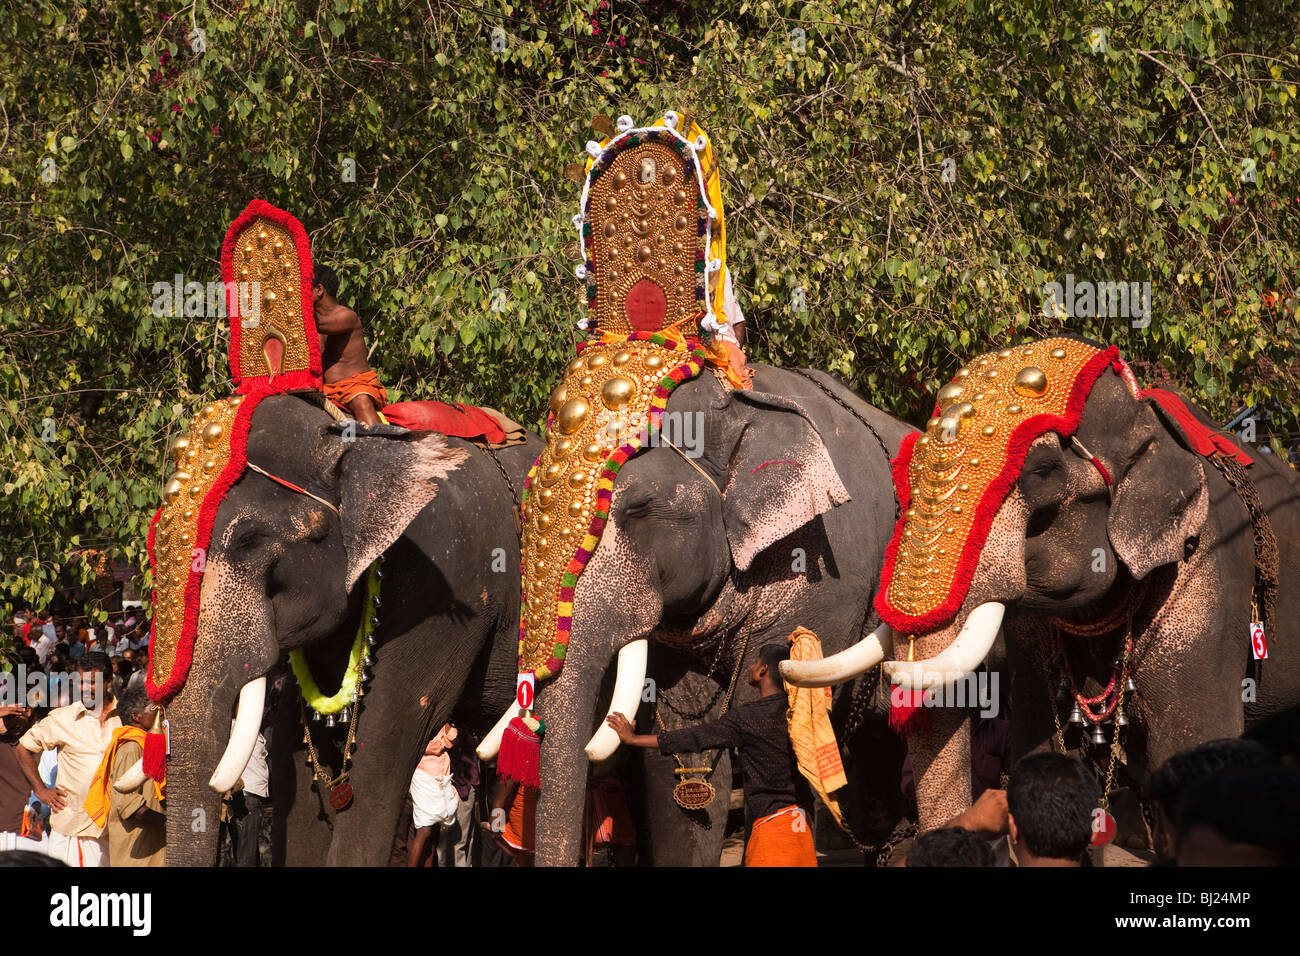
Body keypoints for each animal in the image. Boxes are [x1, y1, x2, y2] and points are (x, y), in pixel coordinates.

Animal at [785, 335, 1300, 837]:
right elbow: (1043, 754)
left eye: (1042, 471)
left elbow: (1191, 742)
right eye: (903, 466)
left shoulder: (1209, 568)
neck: (1143, 417)